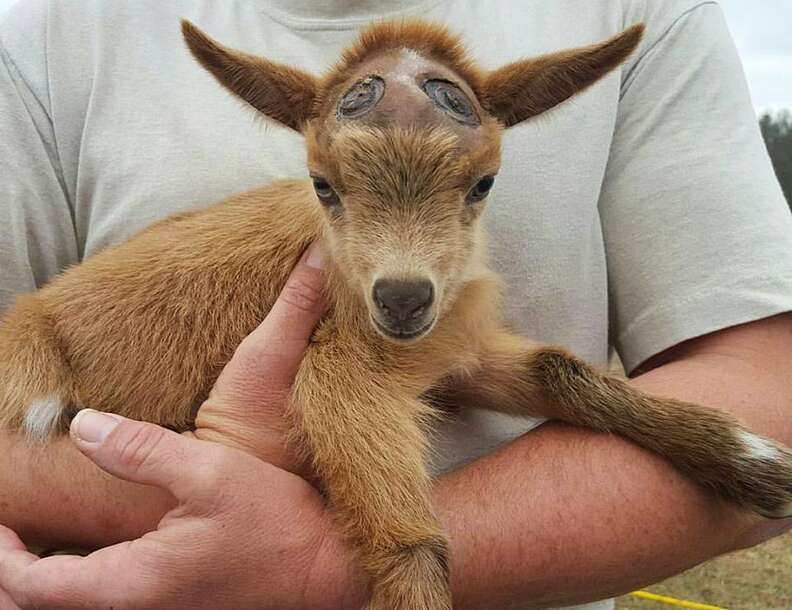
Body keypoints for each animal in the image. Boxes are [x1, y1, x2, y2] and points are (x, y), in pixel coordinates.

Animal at [1, 16, 792, 604]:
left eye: (483, 182)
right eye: (323, 183)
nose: (404, 298)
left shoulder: (451, 353)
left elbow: (561, 371)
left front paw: (753, 464)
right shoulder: (336, 373)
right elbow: (411, 542)